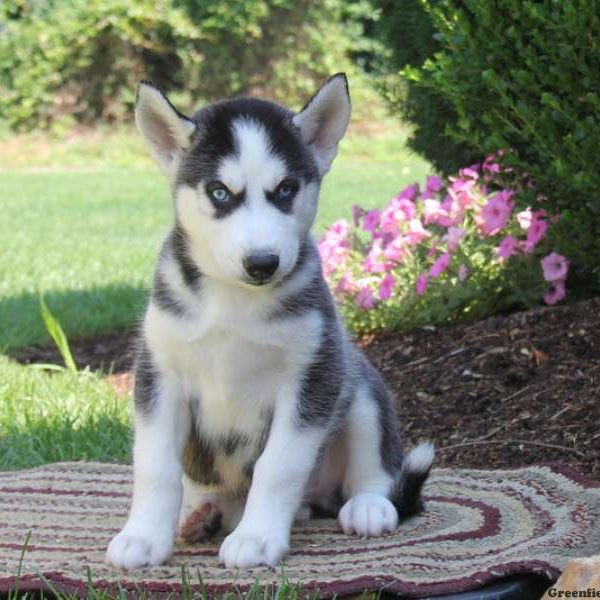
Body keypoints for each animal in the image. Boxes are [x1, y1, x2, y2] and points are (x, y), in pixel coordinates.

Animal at [105, 72, 434, 568]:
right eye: (220, 192)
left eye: (285, 190)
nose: (262, 263)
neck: (233, 301)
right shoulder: (159, 376)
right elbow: (155, 465)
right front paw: (143, 536)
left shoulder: (312, 376)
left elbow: (278, 465)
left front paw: (257, 538)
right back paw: (200, 512)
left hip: (359, 386)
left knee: (374, 467)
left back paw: (369, 506)